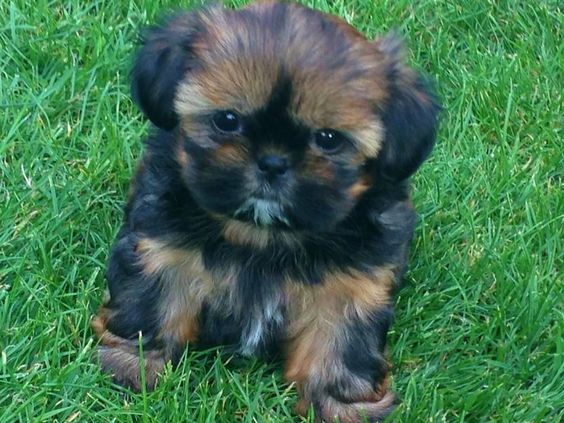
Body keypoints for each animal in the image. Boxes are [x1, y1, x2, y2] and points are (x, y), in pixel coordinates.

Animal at [91, 1, 440, 422]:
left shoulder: (352, 285)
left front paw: (339, 405)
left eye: (328, 139)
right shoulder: (161, 247)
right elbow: (152, 301)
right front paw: (132, 366)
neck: (263, 235)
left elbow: (340, 342)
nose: (272, 162)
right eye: (227, 120)